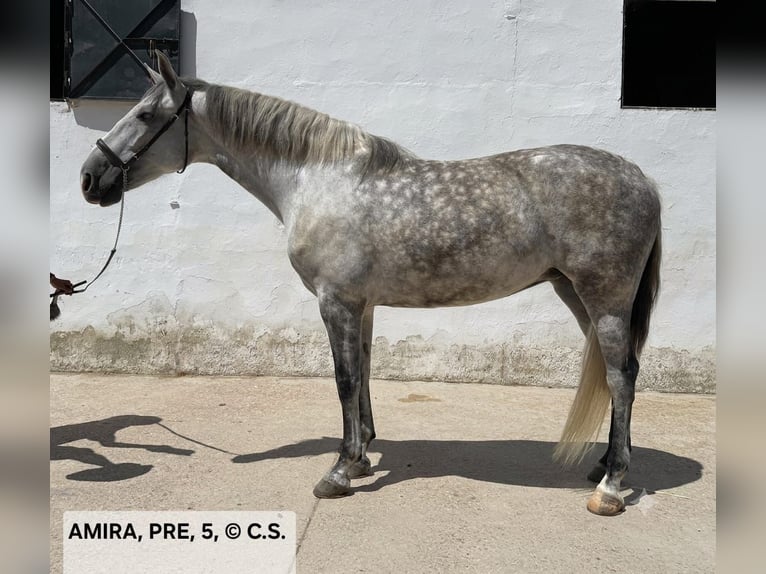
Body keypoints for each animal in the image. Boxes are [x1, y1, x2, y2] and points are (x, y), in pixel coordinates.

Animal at [79, 52, 661, 516]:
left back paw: (611, 488)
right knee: (618, 374)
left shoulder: (335, 302)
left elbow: (343, 379)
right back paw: (605, 463)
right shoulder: (361, 305)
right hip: (577, 294)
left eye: (145, 115)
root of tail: (642, 177)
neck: (317, 179)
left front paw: (338, 472)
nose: (89, 179)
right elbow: (362, 375)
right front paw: (359, 459)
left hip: (604, 298)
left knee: (622, 375)